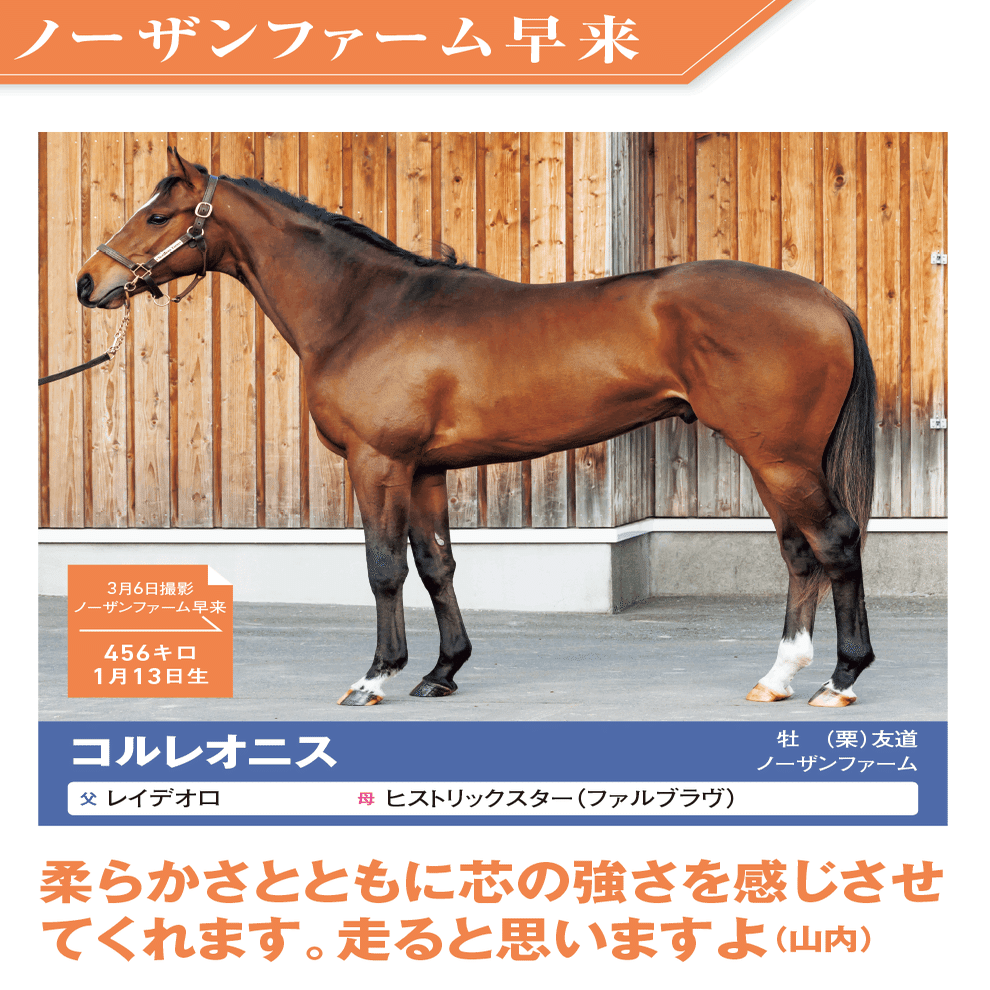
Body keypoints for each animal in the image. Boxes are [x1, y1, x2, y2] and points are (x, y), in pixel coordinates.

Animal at [75, 147, 878, 709]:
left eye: (157, 216)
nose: (89, 283)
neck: (365, 309)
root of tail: (826, 300)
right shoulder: (425, 469)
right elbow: (436, 566)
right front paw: (442, 671)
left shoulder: (377, 462)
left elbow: (384, 568)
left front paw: (376, 677)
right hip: (773, 460)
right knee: (801, 555)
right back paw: (778, 676)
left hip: (779, 457)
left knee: (833, 543)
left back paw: (840, 679)